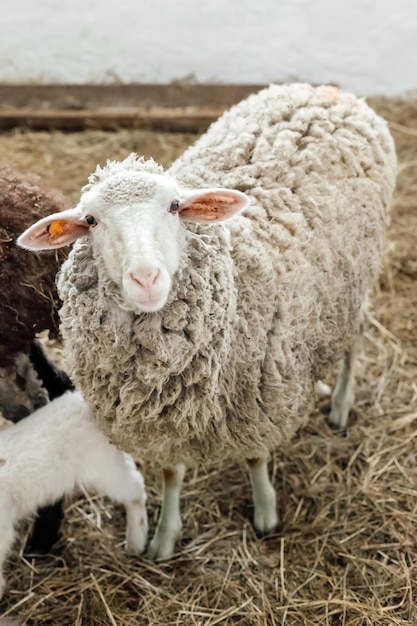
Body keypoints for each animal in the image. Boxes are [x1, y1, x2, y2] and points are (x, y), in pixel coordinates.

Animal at [17, 81, 396, 556]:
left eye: (175, 206)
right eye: (90, 220)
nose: (146, 278)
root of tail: (324, 90)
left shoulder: (256, 396)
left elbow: (255, 456)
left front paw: (265, 513)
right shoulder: (164, 421)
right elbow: (171, 474)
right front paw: (164, 537)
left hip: (358, 274)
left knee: (354, 339)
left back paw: (341, 405)